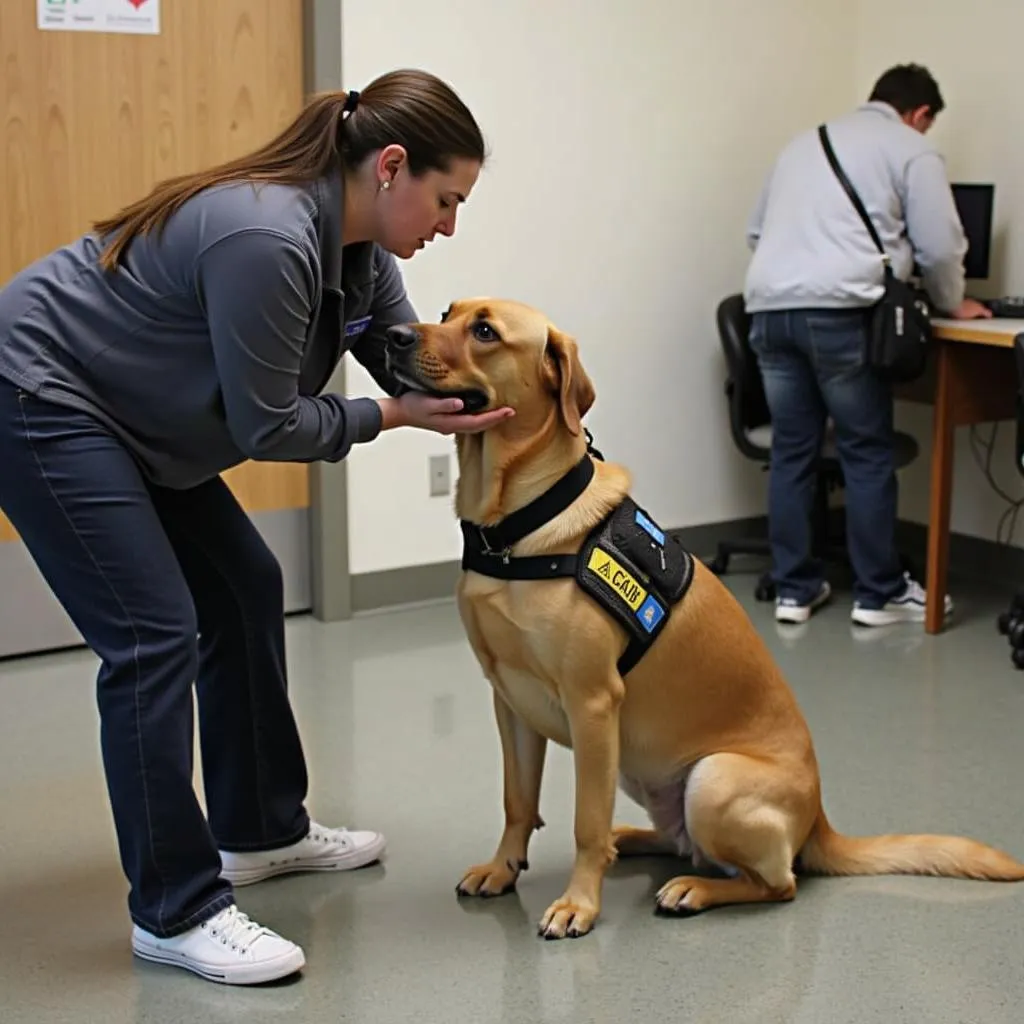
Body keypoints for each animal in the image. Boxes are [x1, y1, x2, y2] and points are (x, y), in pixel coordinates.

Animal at [385, 296, 1024, 937]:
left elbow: (584, 822)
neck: (517, 528)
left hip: (711, 779)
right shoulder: (509, 701)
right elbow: (518, 802)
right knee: (682, 842)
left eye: (485, 332)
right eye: (446, 312)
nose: (390, 335)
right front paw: (502, 867)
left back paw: (691, 889)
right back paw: (634, 841)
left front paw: (578, 903)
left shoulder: (592, 704)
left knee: (776, 883)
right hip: (641, 771)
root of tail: (819, 820)